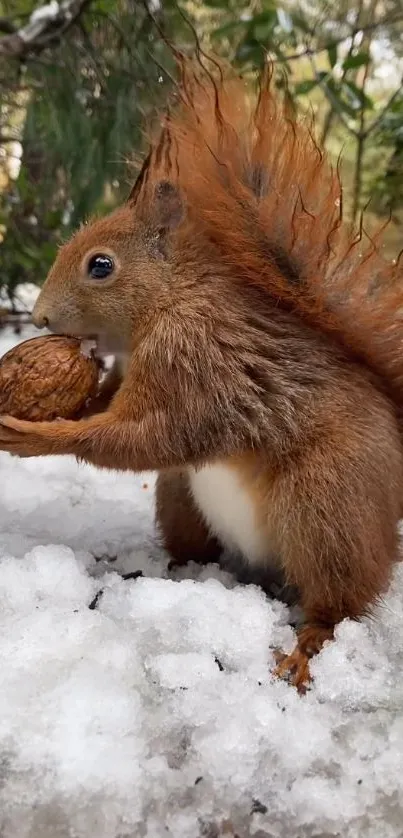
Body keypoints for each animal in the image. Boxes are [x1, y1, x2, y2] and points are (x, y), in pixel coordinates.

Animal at [0, 57, 403, 688]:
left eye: (100, 266)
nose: (39, 317)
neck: (169, 300)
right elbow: (119, 412)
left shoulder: (198, 361)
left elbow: (152, 434)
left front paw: (36, 435)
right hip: (181, 497)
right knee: (198, 548)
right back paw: (156, 570)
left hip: (326, 501)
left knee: (342, 599)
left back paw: (307, 646)